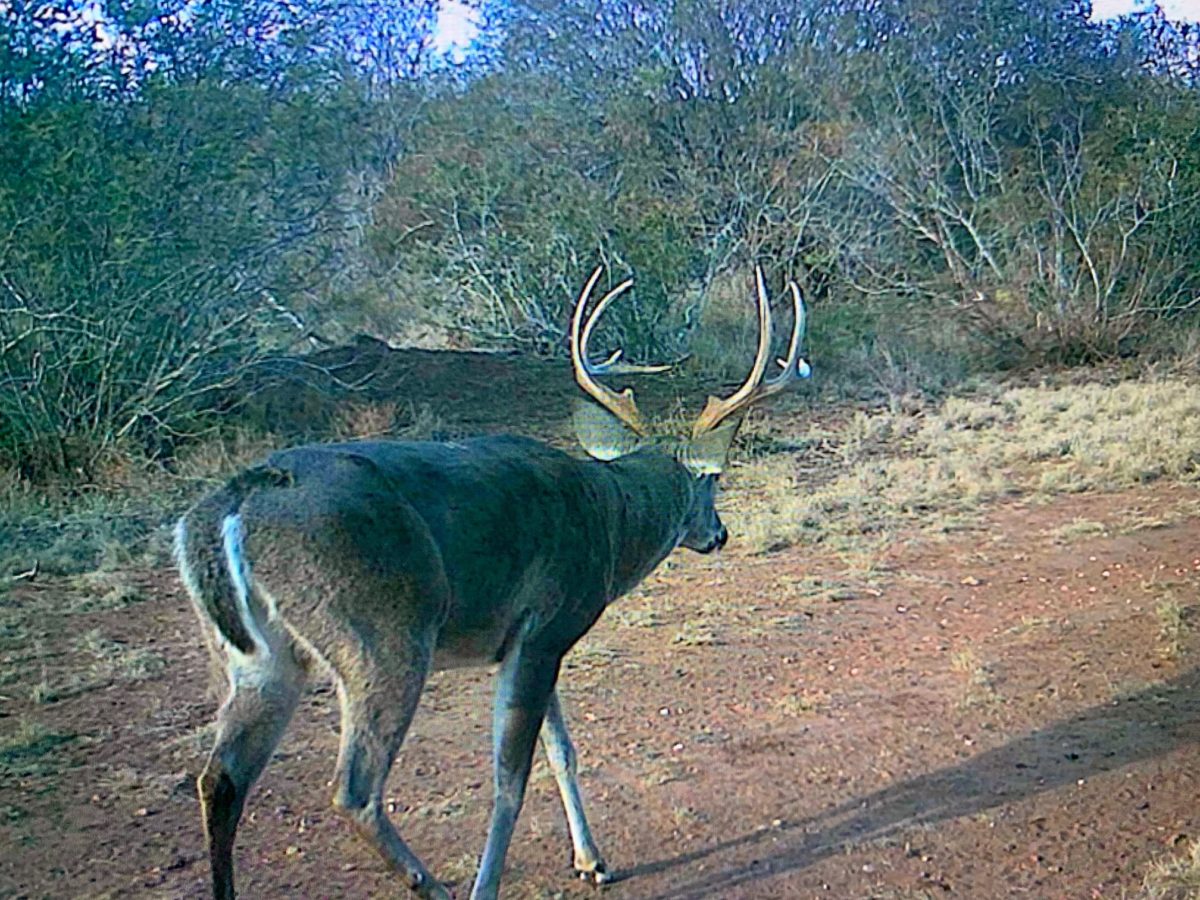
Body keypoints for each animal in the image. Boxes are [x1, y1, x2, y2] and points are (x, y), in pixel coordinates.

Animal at [174, 265, 809, 900]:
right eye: (713, 483)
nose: (719, 533)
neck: (609, 518)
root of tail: (232, 505)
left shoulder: (528, 642)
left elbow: (562, 750)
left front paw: (593, 860)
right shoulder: (548, 625)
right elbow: (512, 777)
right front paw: (497, 882)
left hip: (259, 660)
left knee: (220, 779)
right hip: (382, 639)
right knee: (354, 791)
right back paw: (435, 887)